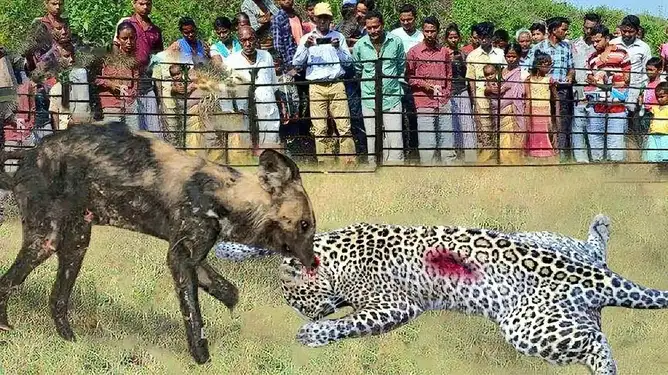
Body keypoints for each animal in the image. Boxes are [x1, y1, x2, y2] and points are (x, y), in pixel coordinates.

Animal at [214, 214, 668, 375]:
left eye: (298, 302)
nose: (305, 315)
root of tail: (593, 274)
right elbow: (265, 244)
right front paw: (227, 249)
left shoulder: (395, 306)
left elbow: (351, 322)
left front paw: (312, 335)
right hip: (554, 249)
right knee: (594, 258)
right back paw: (599, 226)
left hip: (529, 329)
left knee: (596, 345)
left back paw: (607, 373)